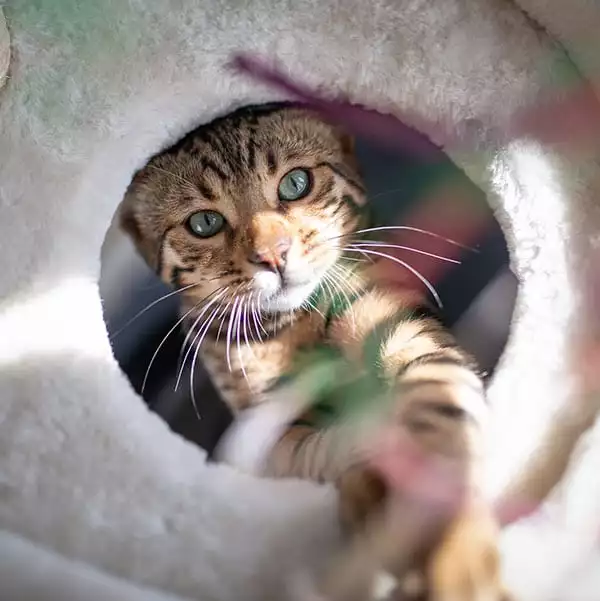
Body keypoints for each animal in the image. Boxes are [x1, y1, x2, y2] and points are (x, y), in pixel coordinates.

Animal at [119, 103, 508, 600]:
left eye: (296, 183)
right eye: (204, 223)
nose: (273, 255)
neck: (295, 324)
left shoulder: (410, 337)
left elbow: (439, 422)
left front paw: (455, 547)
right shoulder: (268, 430)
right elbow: (327, 447)